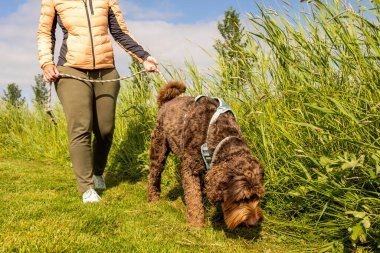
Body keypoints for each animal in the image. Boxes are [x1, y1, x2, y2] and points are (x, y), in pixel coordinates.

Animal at [148, 81, 264, 229]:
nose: (254, 223)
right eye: (241, 198)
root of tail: (166, 103)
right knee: (154, 174)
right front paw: (196, 224)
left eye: (257, 196)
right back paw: (153, 199)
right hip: (158, 149)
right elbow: (194, 198)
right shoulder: (190, 168)